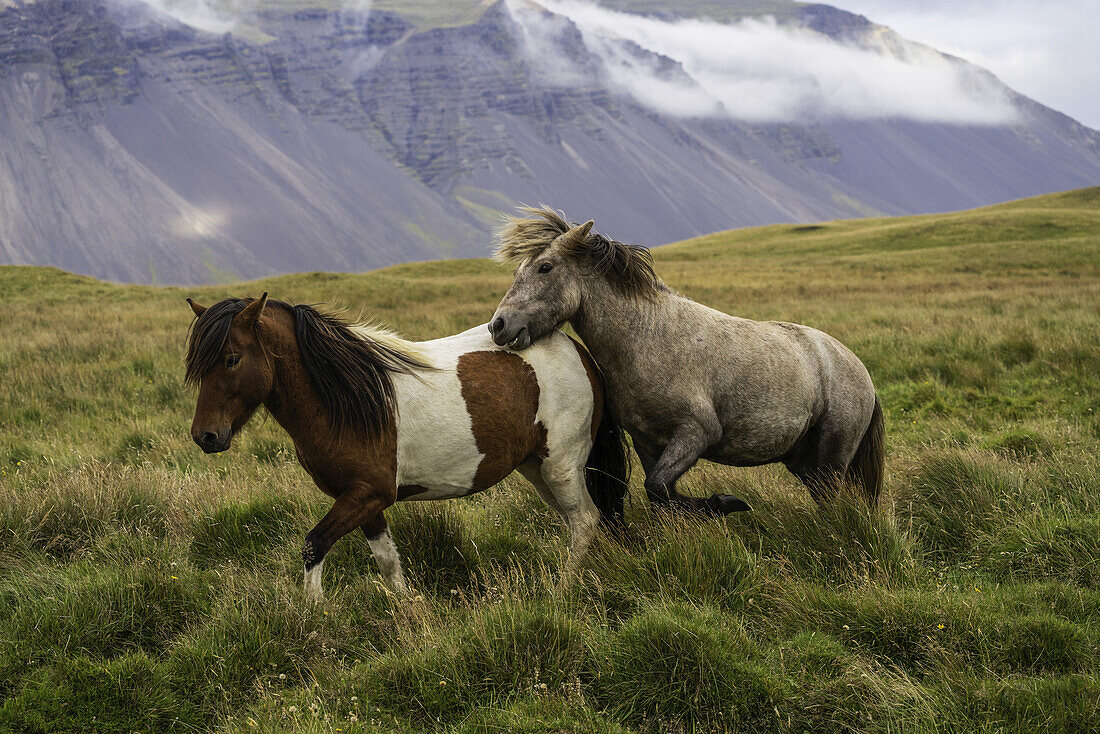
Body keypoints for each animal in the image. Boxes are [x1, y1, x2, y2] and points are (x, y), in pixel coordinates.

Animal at [187, 292, 629, 598]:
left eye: (231, 358)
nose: (205, 436)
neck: (347, 399)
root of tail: (577, 350)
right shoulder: (363, 499)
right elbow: (387, 561)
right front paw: (409, 611)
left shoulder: (369, 493)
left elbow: (314, 545)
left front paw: (313, 618)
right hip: (537, 469)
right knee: (583, 521)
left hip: (561, 466)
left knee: (585, 521)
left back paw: (563, 589)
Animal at [490, 206, 884, 517]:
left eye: (545, 267)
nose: (499, 325)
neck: (646, 339)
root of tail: (859, 368)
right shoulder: (647, 441)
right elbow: (659, 493)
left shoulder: (697, 432)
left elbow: (659, 486)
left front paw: (726, 504)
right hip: (804, 461)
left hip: (833, 454)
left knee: (833, 499)